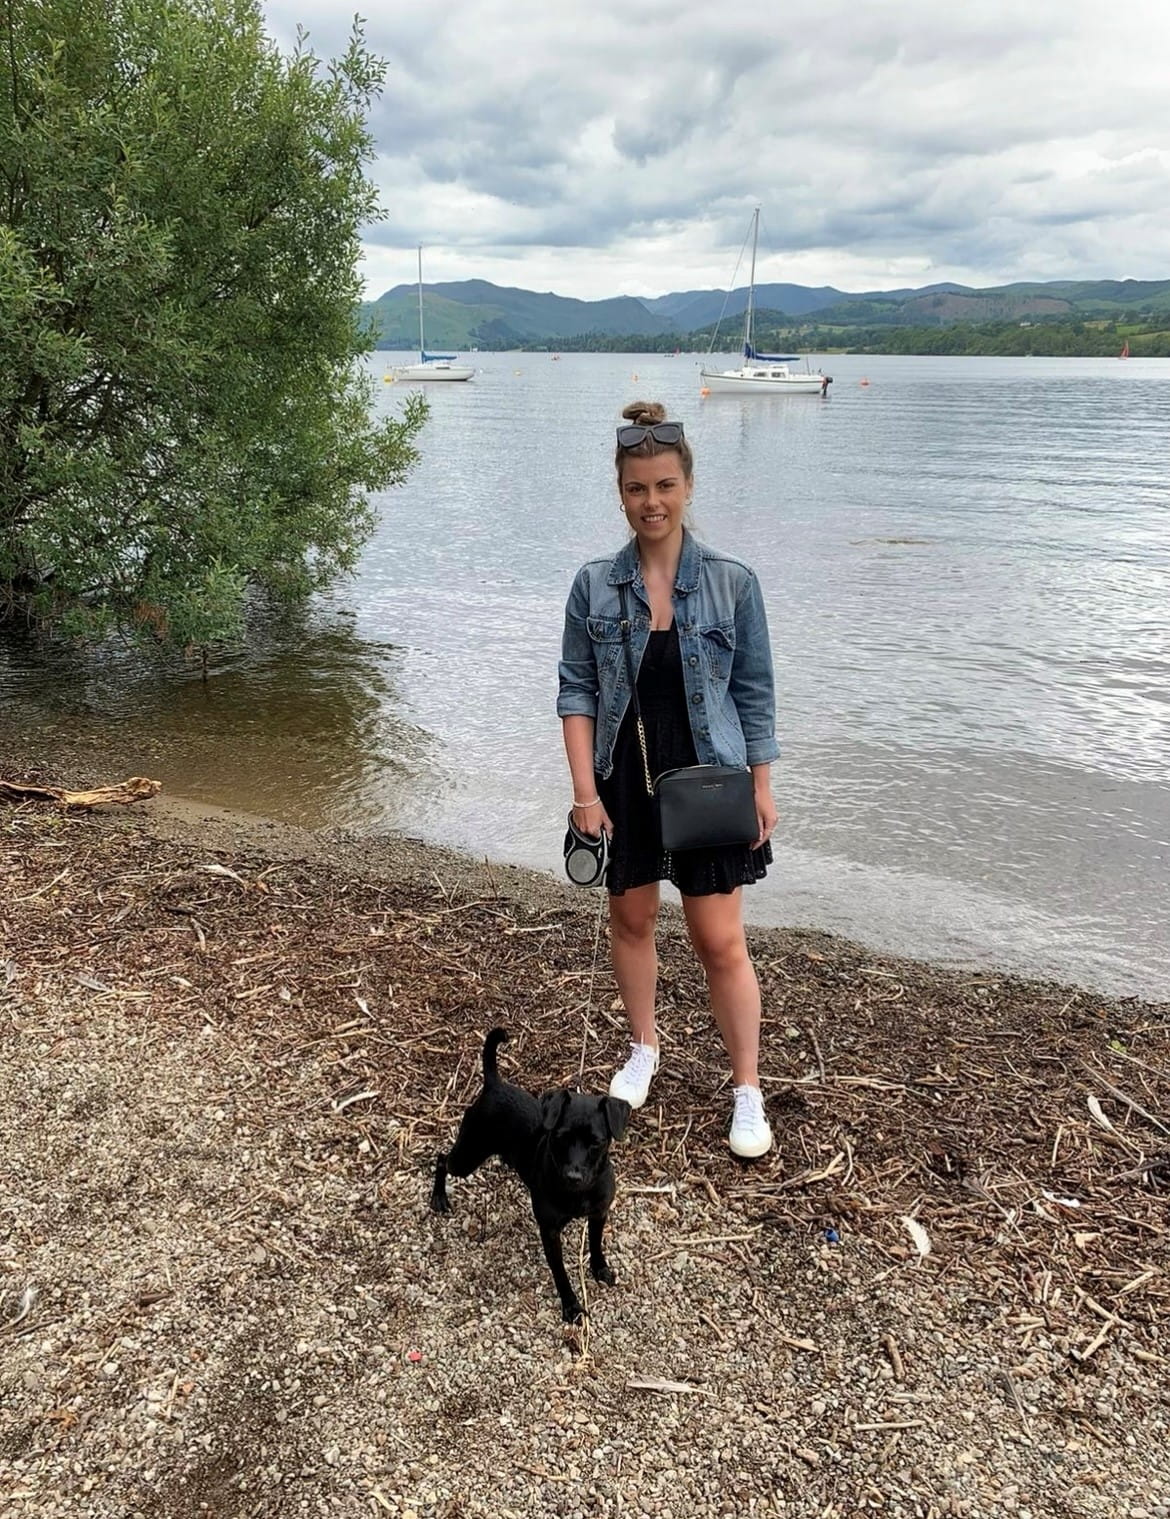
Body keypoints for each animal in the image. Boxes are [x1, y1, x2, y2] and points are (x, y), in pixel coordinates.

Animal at [430, 1027, 631, 1324]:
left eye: (596, 1142)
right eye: (561, 1137)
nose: (573, 1175)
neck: (579, 1193)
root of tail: (495, 1084)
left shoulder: (598, 1214)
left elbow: (596, 1245)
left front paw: (600, 1269)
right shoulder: (550, 1232)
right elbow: (560, 1273)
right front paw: (571, 1306)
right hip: (467, 1156)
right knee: (442, 1159)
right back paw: (439, 1197)